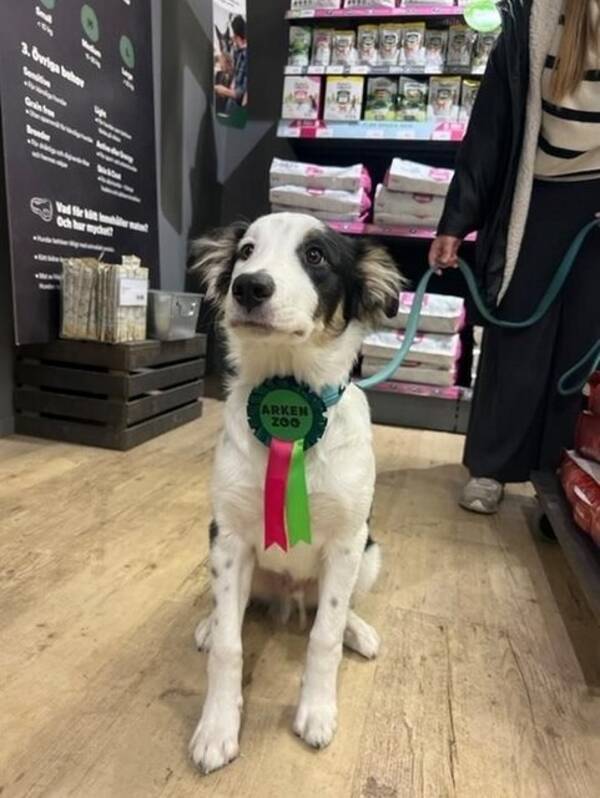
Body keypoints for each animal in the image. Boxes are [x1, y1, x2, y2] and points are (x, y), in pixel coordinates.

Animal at [190, 212, 400, 776]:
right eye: (246, 251)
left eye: (316, 256)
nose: (248, 287)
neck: (290, 398)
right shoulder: (228, 537)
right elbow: (229, 646)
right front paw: (216, 729)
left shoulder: (347, 542)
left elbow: (323, 637)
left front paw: (317, 711)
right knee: (231, 612)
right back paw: (208, 623)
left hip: (370, 554)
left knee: (339, 610)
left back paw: (359, 630)